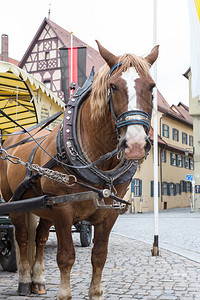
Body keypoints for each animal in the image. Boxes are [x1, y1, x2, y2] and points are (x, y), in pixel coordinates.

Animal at [0, 41, 159, 300]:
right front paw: (65, 294)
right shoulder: (63, 208)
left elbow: (99, 256)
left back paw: (38, 281)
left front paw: (95, 293)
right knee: (23, 239)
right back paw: (24, 281)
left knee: (40, 239)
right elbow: (66, 256)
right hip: (16, 204)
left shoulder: (109, 213)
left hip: (43, 207)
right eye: (113, 86)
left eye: (151, 86)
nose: (135, 145)